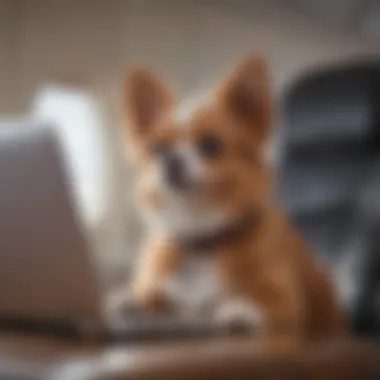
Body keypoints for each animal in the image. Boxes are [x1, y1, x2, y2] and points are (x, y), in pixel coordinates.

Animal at [117, 55, 346, 342]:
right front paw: (134, 300)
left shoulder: (286, 303)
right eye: (157, 149)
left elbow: (258, 302)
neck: (201, 237)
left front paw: (239, 310)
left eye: (210, 144)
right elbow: (156, 297)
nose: (171, 161)